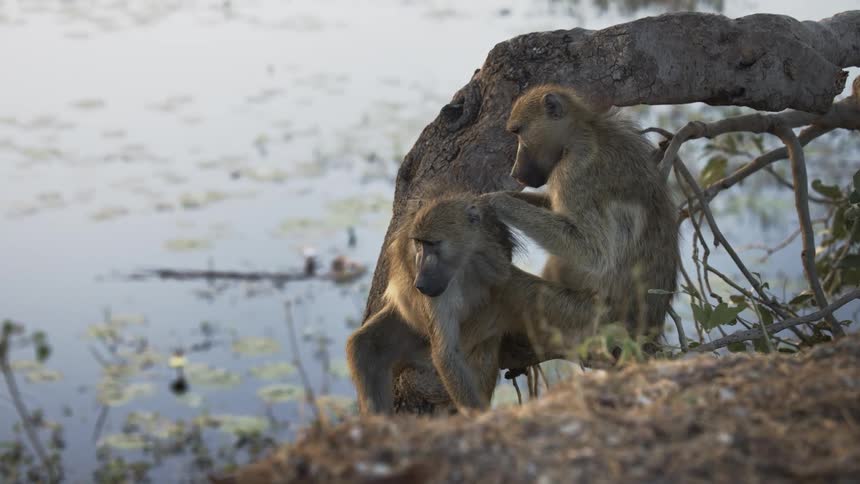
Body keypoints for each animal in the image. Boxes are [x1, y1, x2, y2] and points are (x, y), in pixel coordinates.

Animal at [346, 194, 598, 415]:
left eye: (432, 244)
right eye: (418, 244)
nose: (420, 282)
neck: (465, 263)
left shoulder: (494, 257)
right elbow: (447, 353)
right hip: (411, 323)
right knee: (365, 348)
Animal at [484, 84, 679, 353]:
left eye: (518, 132)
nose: (515, 173)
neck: (582, 131)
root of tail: (646, 332)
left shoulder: (574, 171)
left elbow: (594, 253)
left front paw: (495, 201)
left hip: (585, 319)